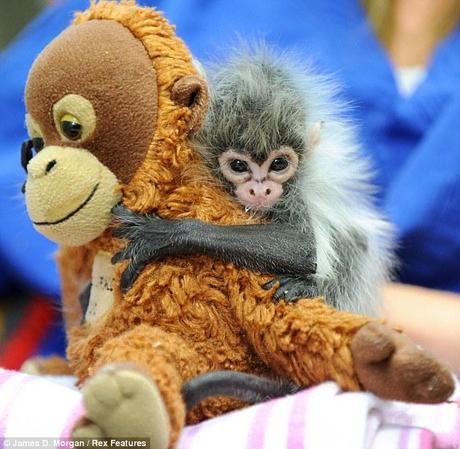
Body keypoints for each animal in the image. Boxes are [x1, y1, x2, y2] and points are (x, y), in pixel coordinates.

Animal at [113, 47, 394, 314]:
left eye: (279, 164)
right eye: (239, 166)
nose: (261, 190)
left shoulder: (297, 193)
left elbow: (304, 247)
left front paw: (165, 233)